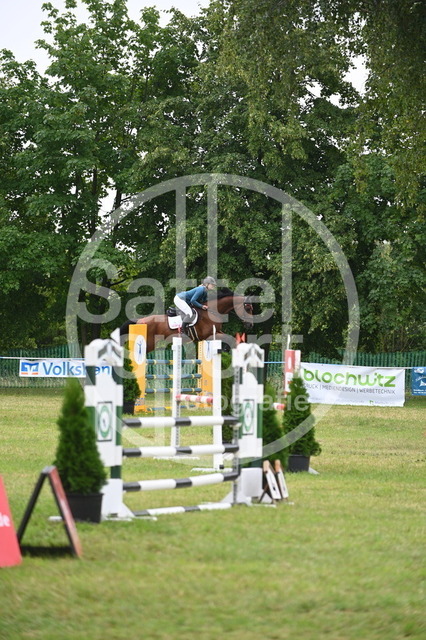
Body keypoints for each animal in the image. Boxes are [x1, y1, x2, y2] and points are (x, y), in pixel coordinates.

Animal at [120, 289, 254, 353]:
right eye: (248, 308)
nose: (250, 325)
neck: (211, 311)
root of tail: (139, 320)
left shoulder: (216, 332)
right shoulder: (208, 335)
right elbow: (228, 339)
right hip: (149, 343)